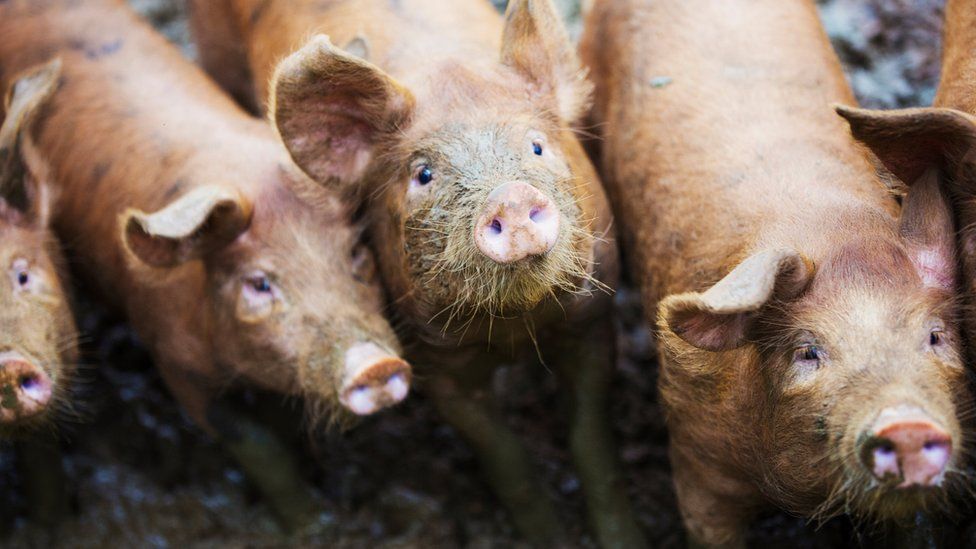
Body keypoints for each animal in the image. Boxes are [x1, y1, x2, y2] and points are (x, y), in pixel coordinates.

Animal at [0, 1, 412, 532]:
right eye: (259, 283)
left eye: (357, 254)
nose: (375, 365)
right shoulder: (172, 357)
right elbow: (255, 442)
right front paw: (309, 524)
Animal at [189, 0, 648, 544]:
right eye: (423, 174)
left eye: (537, 146)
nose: (510, 197)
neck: (515, 329)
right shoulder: (433, 361)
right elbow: (504, 457)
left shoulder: (592, 319)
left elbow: (590, 441)